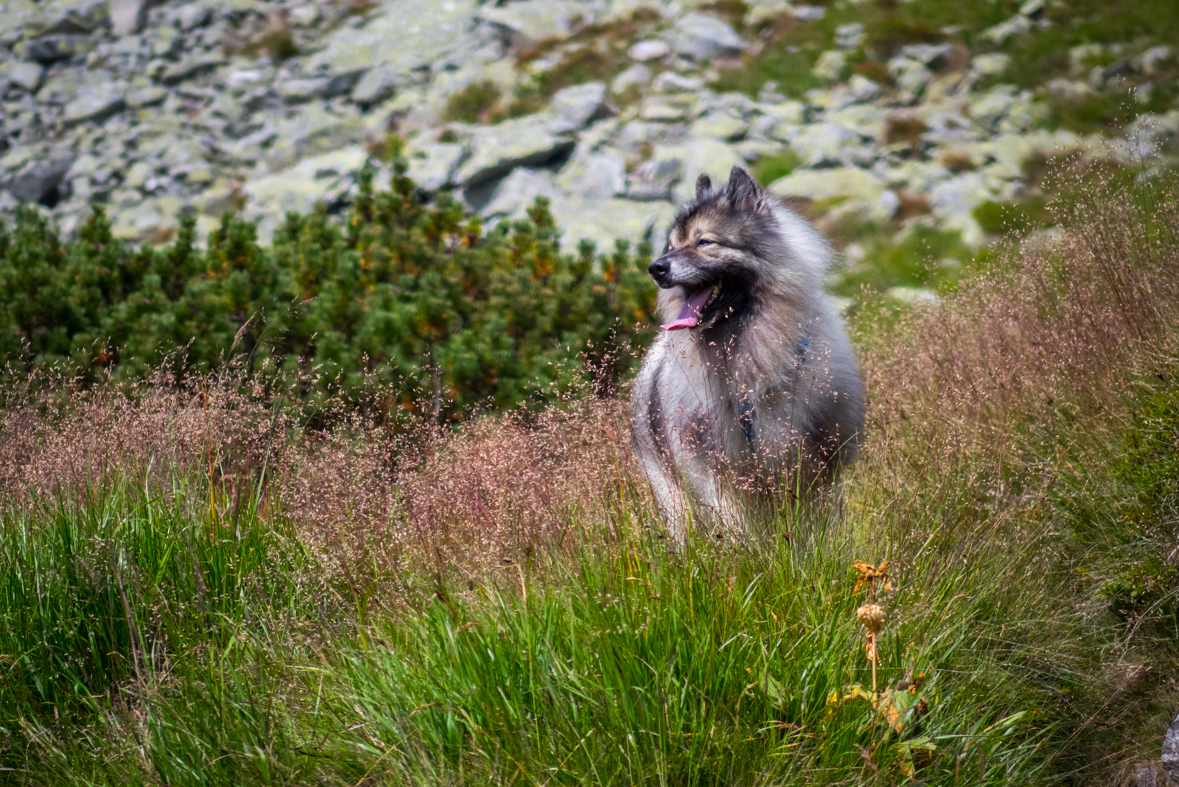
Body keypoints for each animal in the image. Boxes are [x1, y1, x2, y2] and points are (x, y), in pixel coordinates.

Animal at [636, 162, 867, 537]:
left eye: (704, 242)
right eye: (670, 246)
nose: (656, 268)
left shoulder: (819, 457)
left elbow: (818, 516)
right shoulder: (715, 464)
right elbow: (734, 520)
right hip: (669, 487)